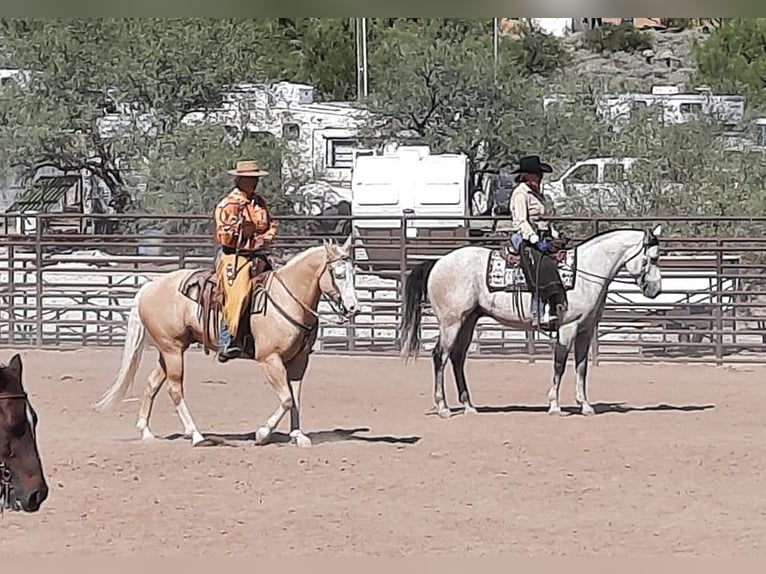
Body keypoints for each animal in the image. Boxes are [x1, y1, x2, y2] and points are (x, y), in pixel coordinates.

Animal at [93, 236, 359, 448]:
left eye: (354, 273)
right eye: (338, 274)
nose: (353, 308)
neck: (287, 298)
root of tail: (149, 287)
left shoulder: (299, 361)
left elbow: (295, 398)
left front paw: (298, 435)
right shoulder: (270, 359)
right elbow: (285, 399)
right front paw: (262, 434)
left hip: (169, 349)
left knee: (152, 384)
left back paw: (146, 431)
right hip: (172, 349)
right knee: (174, 389)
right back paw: (196, 435)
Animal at [399, 226, 663, 418]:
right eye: (652, 258)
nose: (655, 290)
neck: (586, 272)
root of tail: (437, 262)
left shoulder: (586, 331)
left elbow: (581, 367)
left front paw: (586, 406)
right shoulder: (567, 328)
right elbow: (559, 364)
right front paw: (555, 406)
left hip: (468, 320)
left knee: (457, 358)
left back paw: (469, 407)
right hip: (451, 322)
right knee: (440, 357)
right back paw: (443, 408)